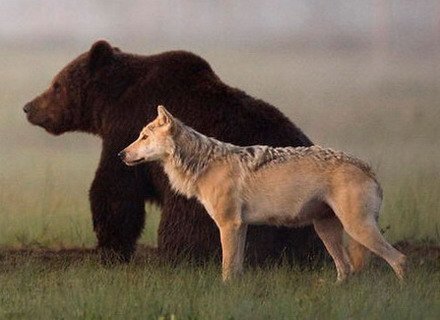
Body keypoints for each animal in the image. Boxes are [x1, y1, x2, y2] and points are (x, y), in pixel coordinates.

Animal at [24, 40, 326, 264]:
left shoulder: (127, 128)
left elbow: (116, 189)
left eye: (57, 85)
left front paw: (110, 248)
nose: (29, 107)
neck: (112, 101)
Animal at [119, 105, 406, 282]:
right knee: (345, 269)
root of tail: (367, 167)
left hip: (357, 229)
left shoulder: (229, 225)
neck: (204, 164)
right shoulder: (240, 226)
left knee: (399, 259)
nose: (120, 154)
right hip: (327, 231)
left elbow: (227, 267)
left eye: (143, 137)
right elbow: (236, 268)